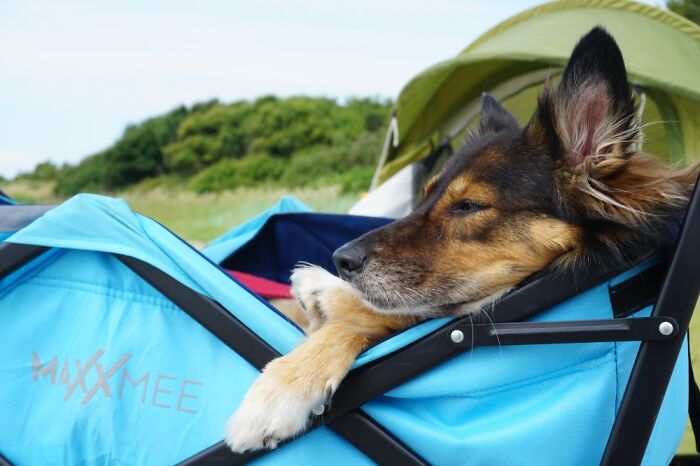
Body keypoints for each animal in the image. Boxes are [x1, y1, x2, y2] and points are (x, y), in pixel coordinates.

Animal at [226, 26, 700, 452]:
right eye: (426, 193)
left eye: (468, 205)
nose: (340, 259)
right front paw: (325, 294)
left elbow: (384, 321)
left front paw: (280, 390)